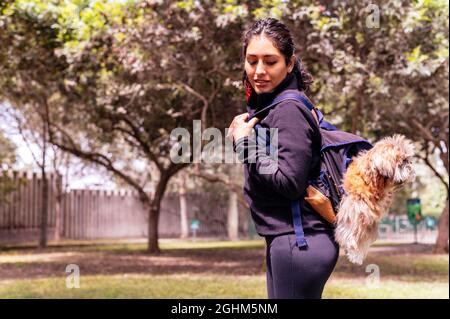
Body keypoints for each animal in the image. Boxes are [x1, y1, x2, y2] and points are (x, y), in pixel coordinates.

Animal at [334, 134, 414, 264]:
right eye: (402, 161)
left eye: (408, 160)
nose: (410, 165)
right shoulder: (355, 207)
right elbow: (352, 230)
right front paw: (353, 250)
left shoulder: (370, 215)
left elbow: (365, 235)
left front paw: (357, 253)